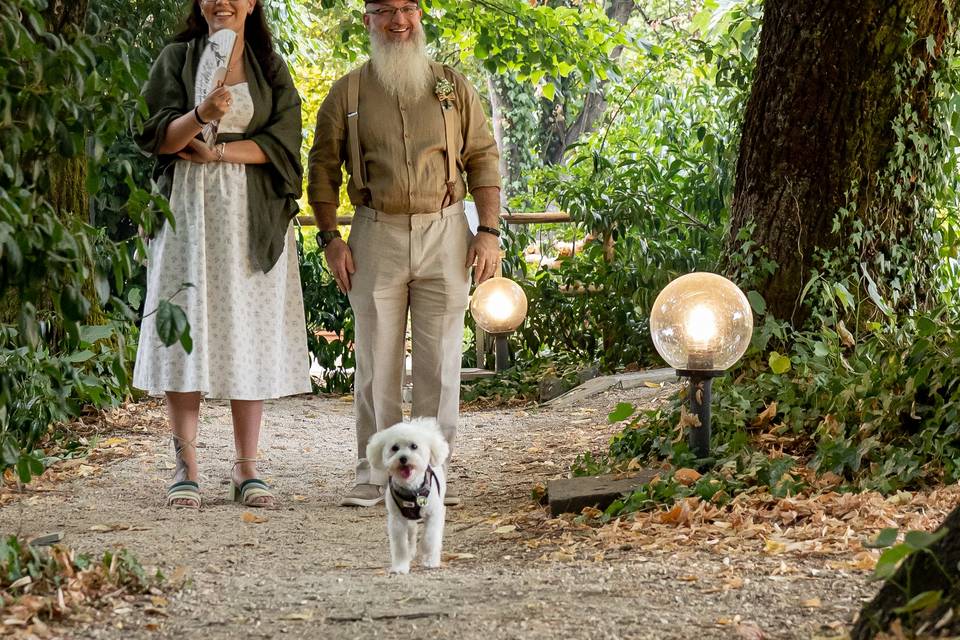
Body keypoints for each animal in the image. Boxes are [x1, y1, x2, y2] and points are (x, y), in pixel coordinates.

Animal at [366, 418, 452, 572]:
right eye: (395, 448)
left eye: (414, 446)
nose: (403, 458)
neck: (412, 490)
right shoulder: (397, 520)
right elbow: (400, 545)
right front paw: (400, 567)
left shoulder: (434, 514)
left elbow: (430, 538)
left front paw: (430, 560)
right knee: (411, 532)